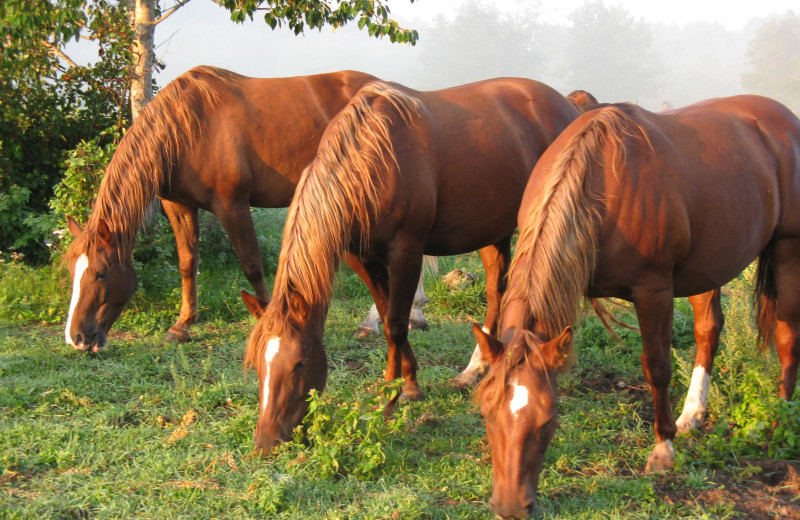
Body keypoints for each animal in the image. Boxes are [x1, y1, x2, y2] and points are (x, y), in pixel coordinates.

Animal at [61, 64, 428, 350]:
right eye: (71, 274)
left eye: (100, 273)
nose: (77, 337)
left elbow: (252, 265)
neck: (186, 127)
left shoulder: (231, 205)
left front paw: (267, 318)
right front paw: (182, 325)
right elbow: (187, 263)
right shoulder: (178, 206)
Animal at [244, 77, 580, 450]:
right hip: (495, 231)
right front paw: (410, 383)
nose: (266, 440)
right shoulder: (361, 257)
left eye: (299, 363)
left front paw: (390, 400)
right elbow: (386, 310)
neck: (370, 159)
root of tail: (566, 105)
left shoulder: (406, 251)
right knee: (497, 293)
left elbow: (395, 323)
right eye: (257, 365)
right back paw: (475, 371)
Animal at [472, 96, 800, 516]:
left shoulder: (653, 290)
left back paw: (778, 425)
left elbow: (656, 367)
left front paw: (663, 450)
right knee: (708, 332)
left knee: (787, 340)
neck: (599, 189)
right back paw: (692, 415)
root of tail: (782, 117)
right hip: (707, 266)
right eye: (486, 411)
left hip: (788, 249)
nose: (510, 507)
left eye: (548, 419)